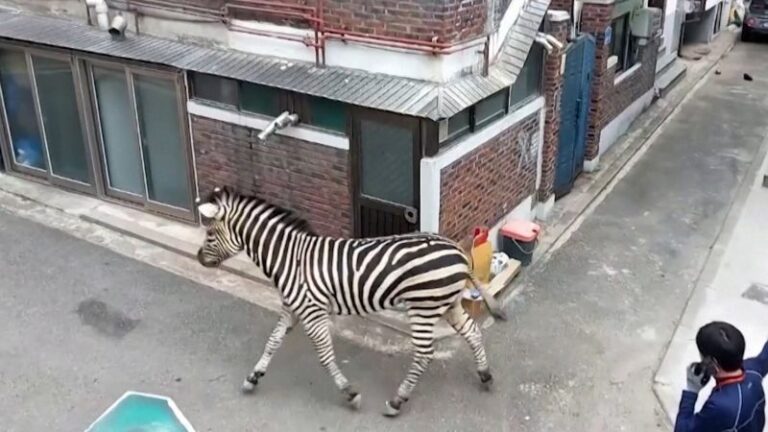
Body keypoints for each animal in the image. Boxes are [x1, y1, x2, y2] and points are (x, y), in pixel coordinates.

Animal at [195, 187, 508, 416]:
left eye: (209, 233)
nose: (199, 259)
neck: (290, 259)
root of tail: (458, 249)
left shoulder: (312, 311)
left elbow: (324, 355)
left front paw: (350, 393)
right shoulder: (292, 308)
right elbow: (272, 342)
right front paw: (253, 377)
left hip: (424, 306)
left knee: (424, 354)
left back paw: (397, 401)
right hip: (448, 303)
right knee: (472, 333)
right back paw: (485, 376)